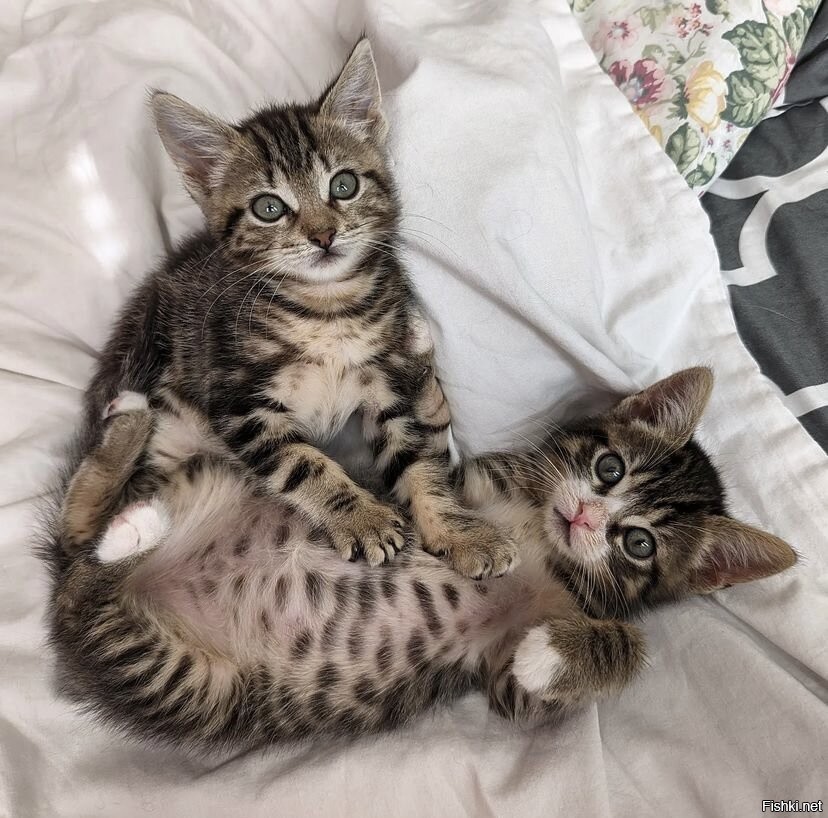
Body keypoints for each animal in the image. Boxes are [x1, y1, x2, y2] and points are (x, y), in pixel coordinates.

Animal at [42, 367, 797, 752]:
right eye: (609, 468)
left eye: (638, 544)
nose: (585, 518)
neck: (545, 544)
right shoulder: (468, 483)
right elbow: (427, 464)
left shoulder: (503, 681)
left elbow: (620, 647)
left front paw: (549, 655)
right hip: (213, 494)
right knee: (81, 546)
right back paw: (132, 458)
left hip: (192, 681)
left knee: (86, 569)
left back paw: (129, 526)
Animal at [61, 38, 513, 581]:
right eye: (269, 208)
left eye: (343, 185)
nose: (323, 235)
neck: (329, 309)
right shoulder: (240, 403)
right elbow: (302, 463)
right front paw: (361, 518)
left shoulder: (386, 386)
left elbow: (417, 459)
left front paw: (458, 532)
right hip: (144, 344)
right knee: (77, 533)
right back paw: (127, 446)